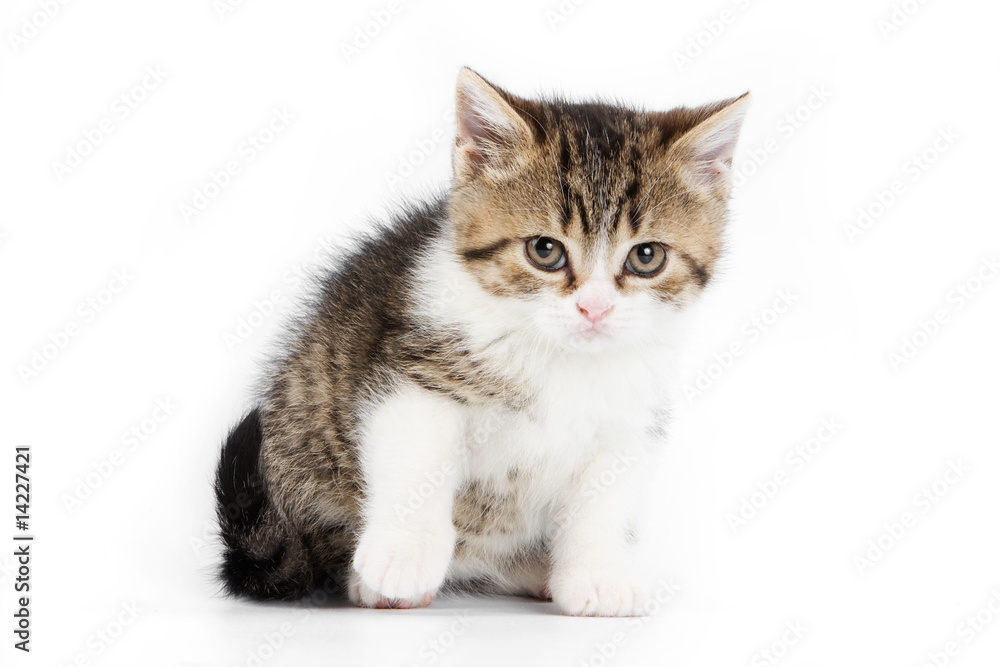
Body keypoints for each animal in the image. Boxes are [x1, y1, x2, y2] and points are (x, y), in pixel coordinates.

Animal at [215, 66, 748, 616]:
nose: (594, 308)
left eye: (646, 257)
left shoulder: (629, 421)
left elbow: (604, 502)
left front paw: (598, 577)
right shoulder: (416, 374)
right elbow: (417, 461)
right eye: (544, 250)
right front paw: (404, 556)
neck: (560, 356)